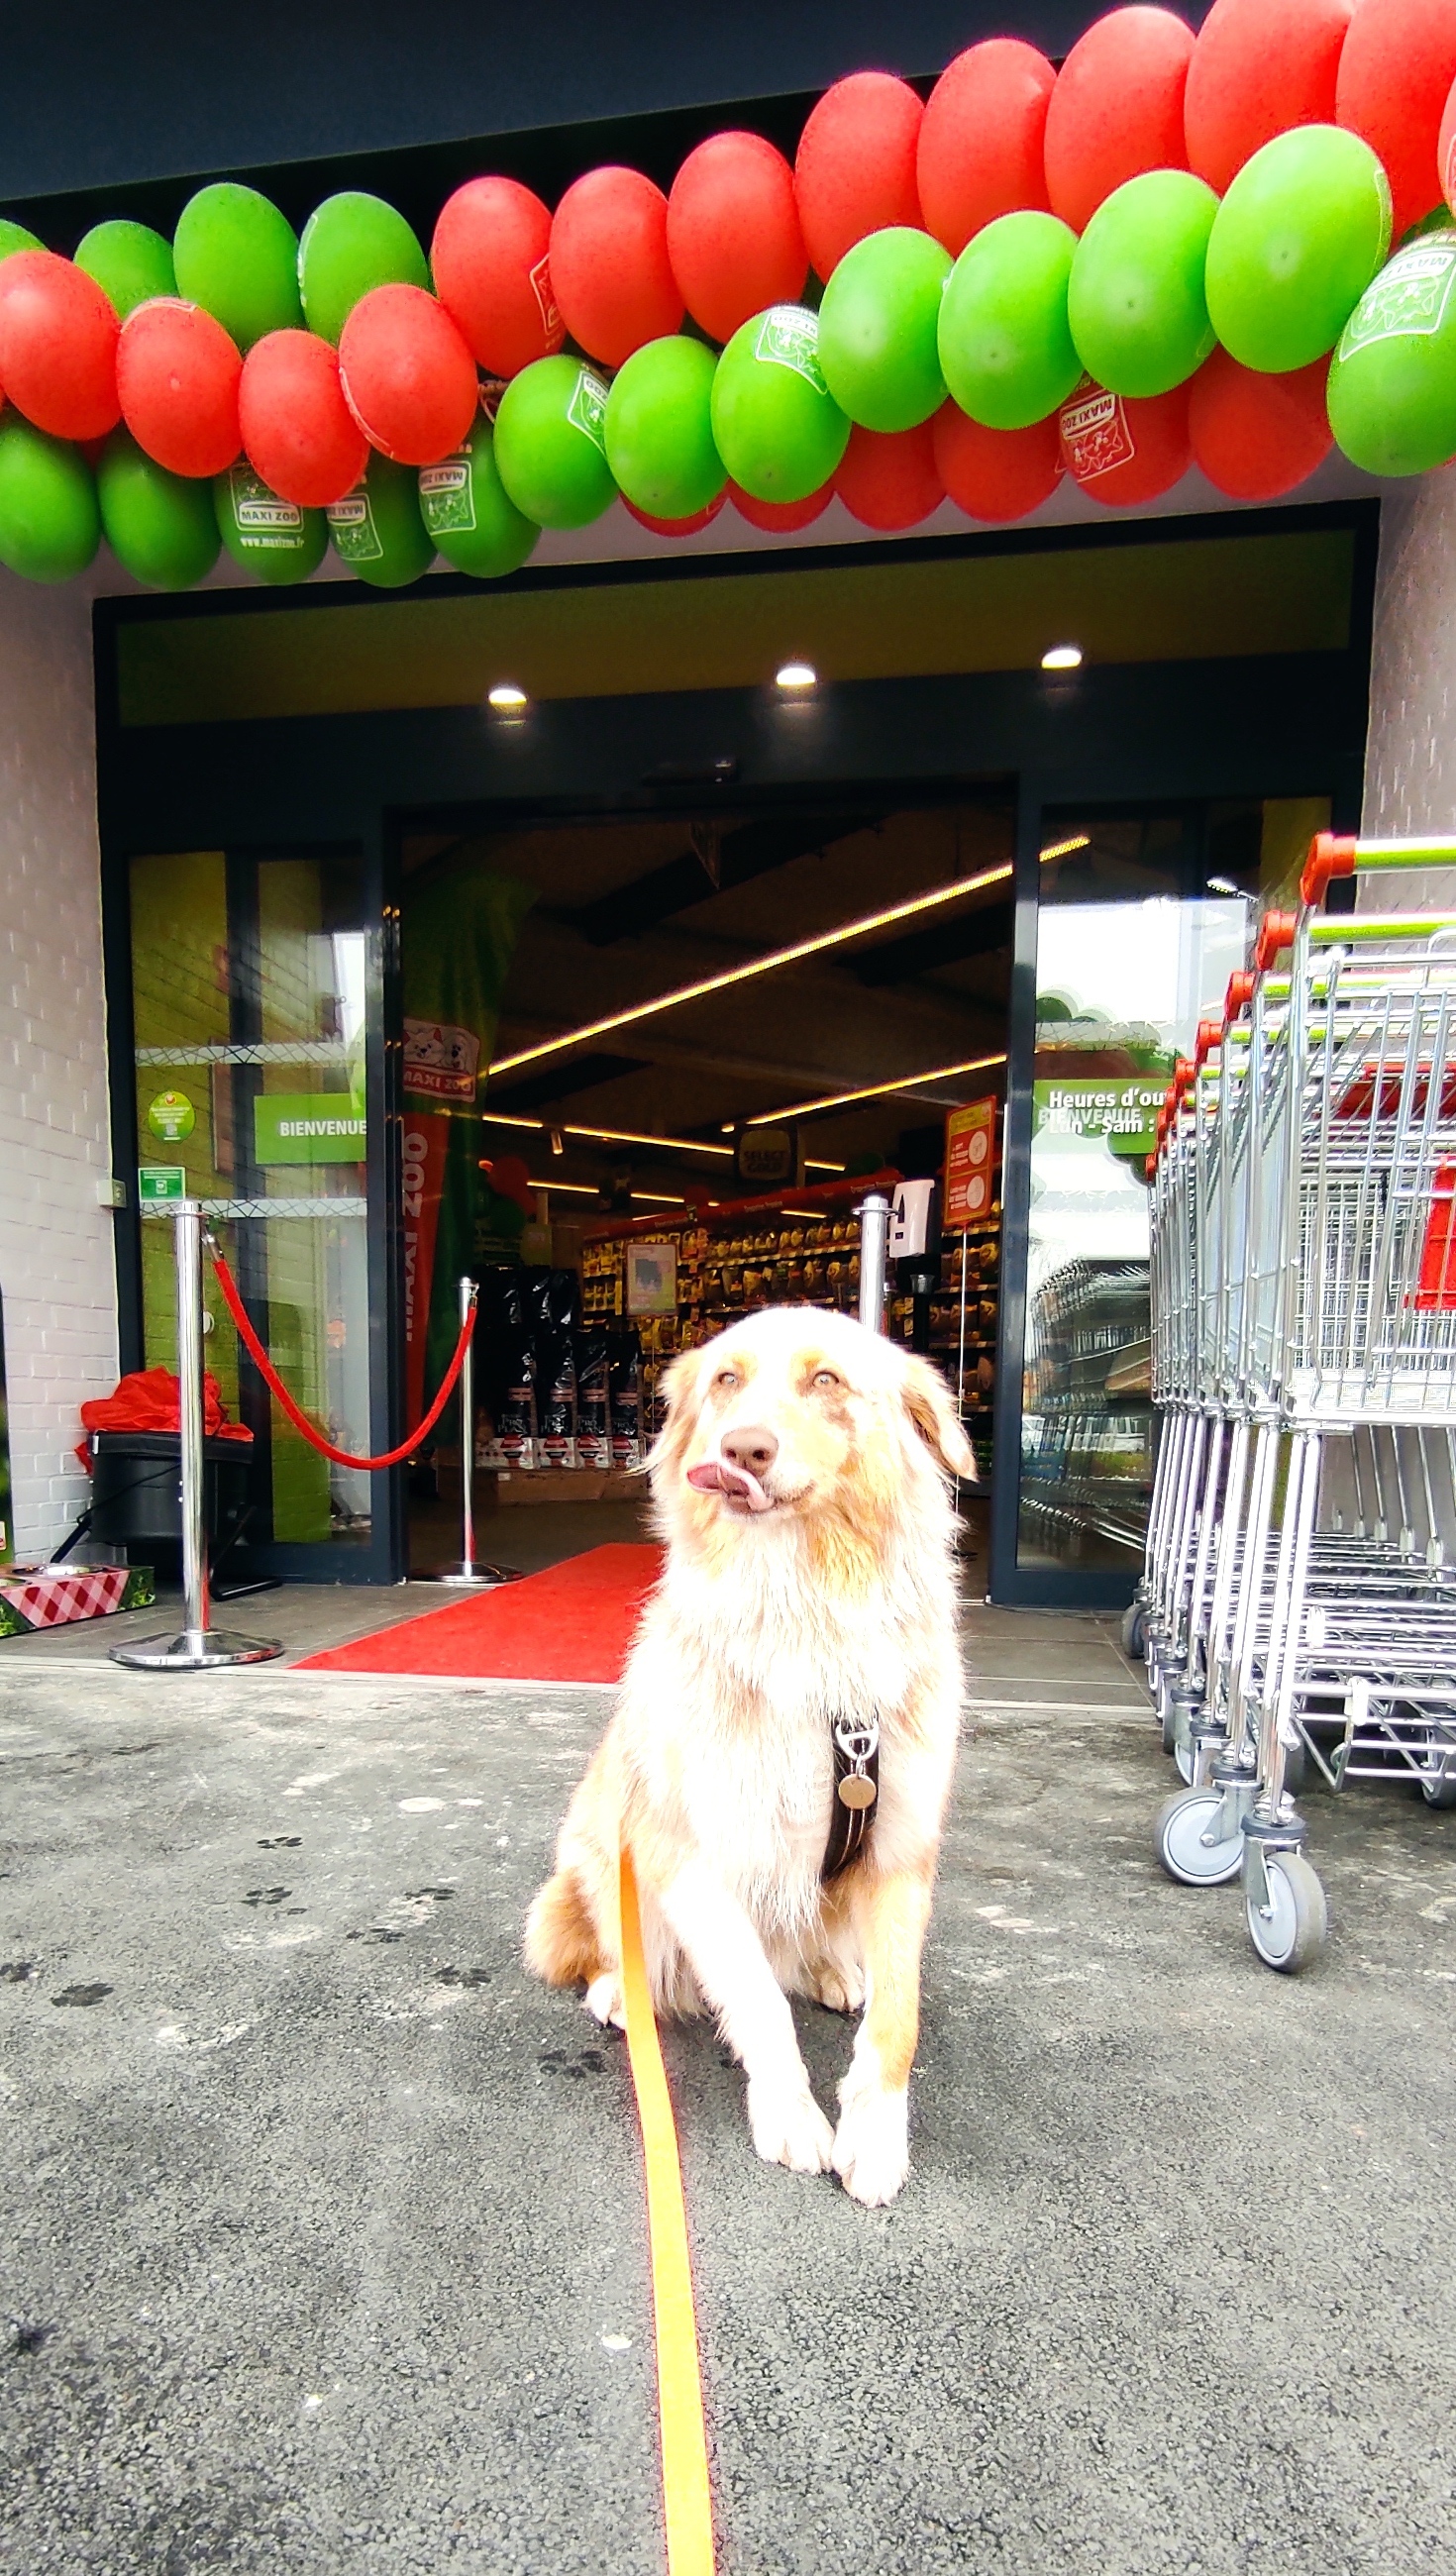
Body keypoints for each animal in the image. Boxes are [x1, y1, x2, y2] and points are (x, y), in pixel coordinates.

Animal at [524, 1302, 973, 2206]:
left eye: (826, 1378)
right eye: (727, 1379)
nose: (742, 1450)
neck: (805, 1614)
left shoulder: (902, 1851)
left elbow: (900, 2018)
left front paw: (876, 2132)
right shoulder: (690, 1854)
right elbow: (759, 2003)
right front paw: (792, 2115)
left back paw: (834, 1971)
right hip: (597, 1845)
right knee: (617, 1943)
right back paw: (619, 1988)